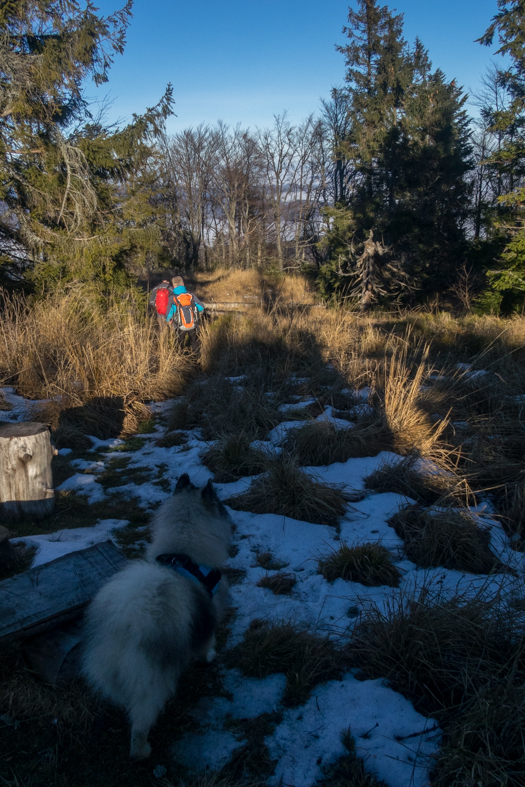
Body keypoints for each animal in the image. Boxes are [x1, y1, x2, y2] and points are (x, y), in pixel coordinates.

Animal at [82, 474, 229, 756]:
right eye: (221, 506)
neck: (183, 550)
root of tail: (127, 628)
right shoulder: (207, 617)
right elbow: (206, 645)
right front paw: (209, 658)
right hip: (152, 684)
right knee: (140, 723)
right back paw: (142, 751)